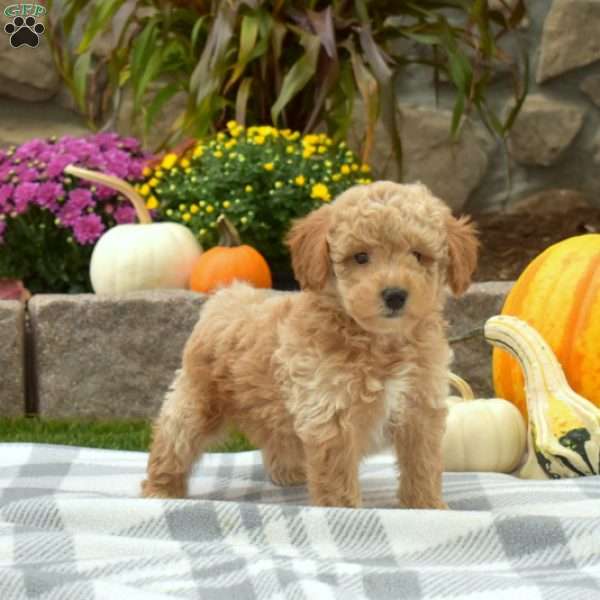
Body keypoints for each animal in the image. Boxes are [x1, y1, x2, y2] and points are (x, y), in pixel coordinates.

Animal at [142, 180, 478, 508]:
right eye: (360, 257)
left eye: (418, 255)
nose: (395, 295)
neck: (381, 343)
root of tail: (228, 294)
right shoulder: (330, 414)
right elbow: (338, 480)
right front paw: (343, 514)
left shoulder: (420, 411)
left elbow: (423, 466)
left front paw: (427, 507)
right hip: (197, 400)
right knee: (173, 439)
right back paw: (161, 489)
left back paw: (289, 473)